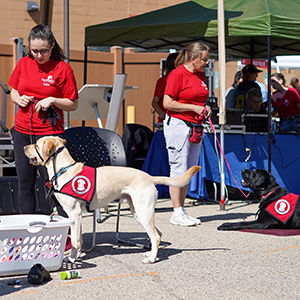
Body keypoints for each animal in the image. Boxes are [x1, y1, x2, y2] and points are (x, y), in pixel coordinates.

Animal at [24, 136, 202, 262]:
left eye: (37, 145)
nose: (24, 147)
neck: (64, 169)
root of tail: (149, 176)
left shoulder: (74, 214)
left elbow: (75, 240)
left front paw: (73, 258)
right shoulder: (78, 216)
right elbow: (79, 239)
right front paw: (78, 255)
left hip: (143, 212)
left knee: (156, 236)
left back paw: (151, 259)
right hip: (138, 212)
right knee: (157, 234)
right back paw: (151, 254)